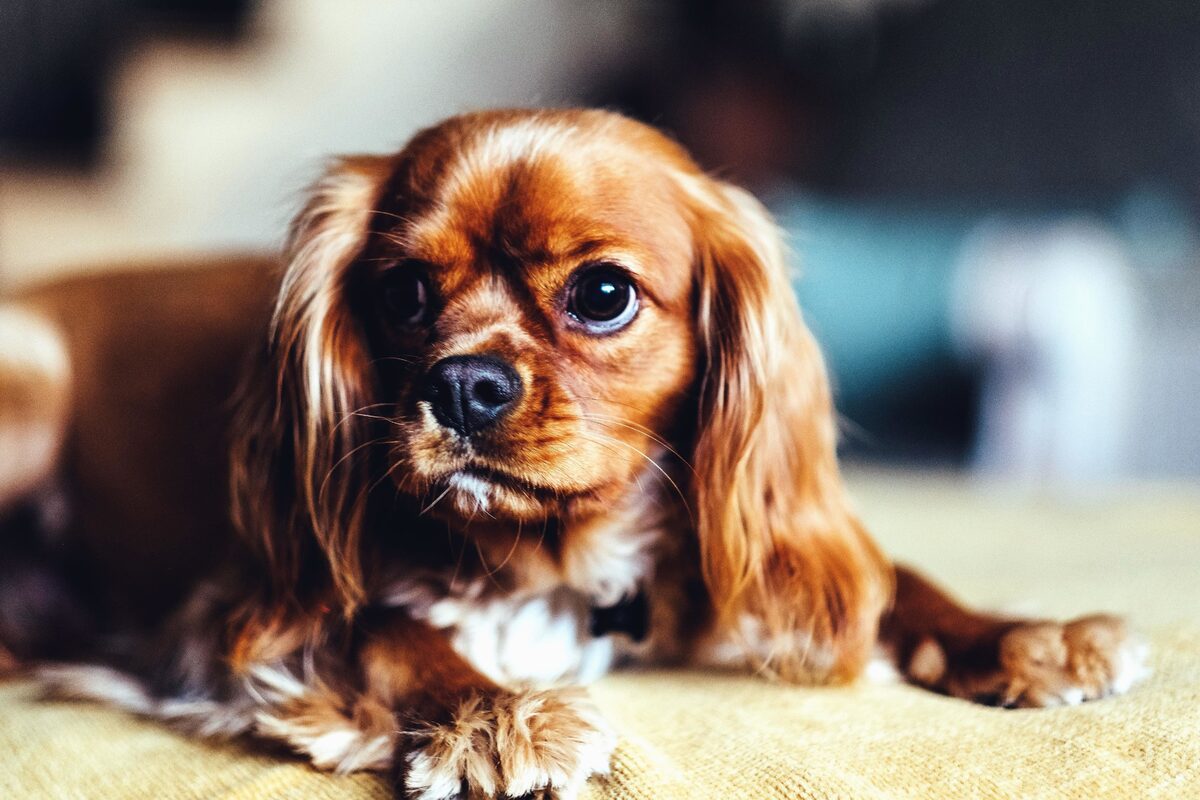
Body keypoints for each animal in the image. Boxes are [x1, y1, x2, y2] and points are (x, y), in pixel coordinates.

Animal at [0, 110, 1142, 800]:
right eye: (403, 291)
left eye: (602, 294)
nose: (463, 382)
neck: (550, 556)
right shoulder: (230, 616)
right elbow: (388, 628)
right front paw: (494, 713)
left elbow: (884, 574)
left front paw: (1023, 636)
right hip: (31, 387)